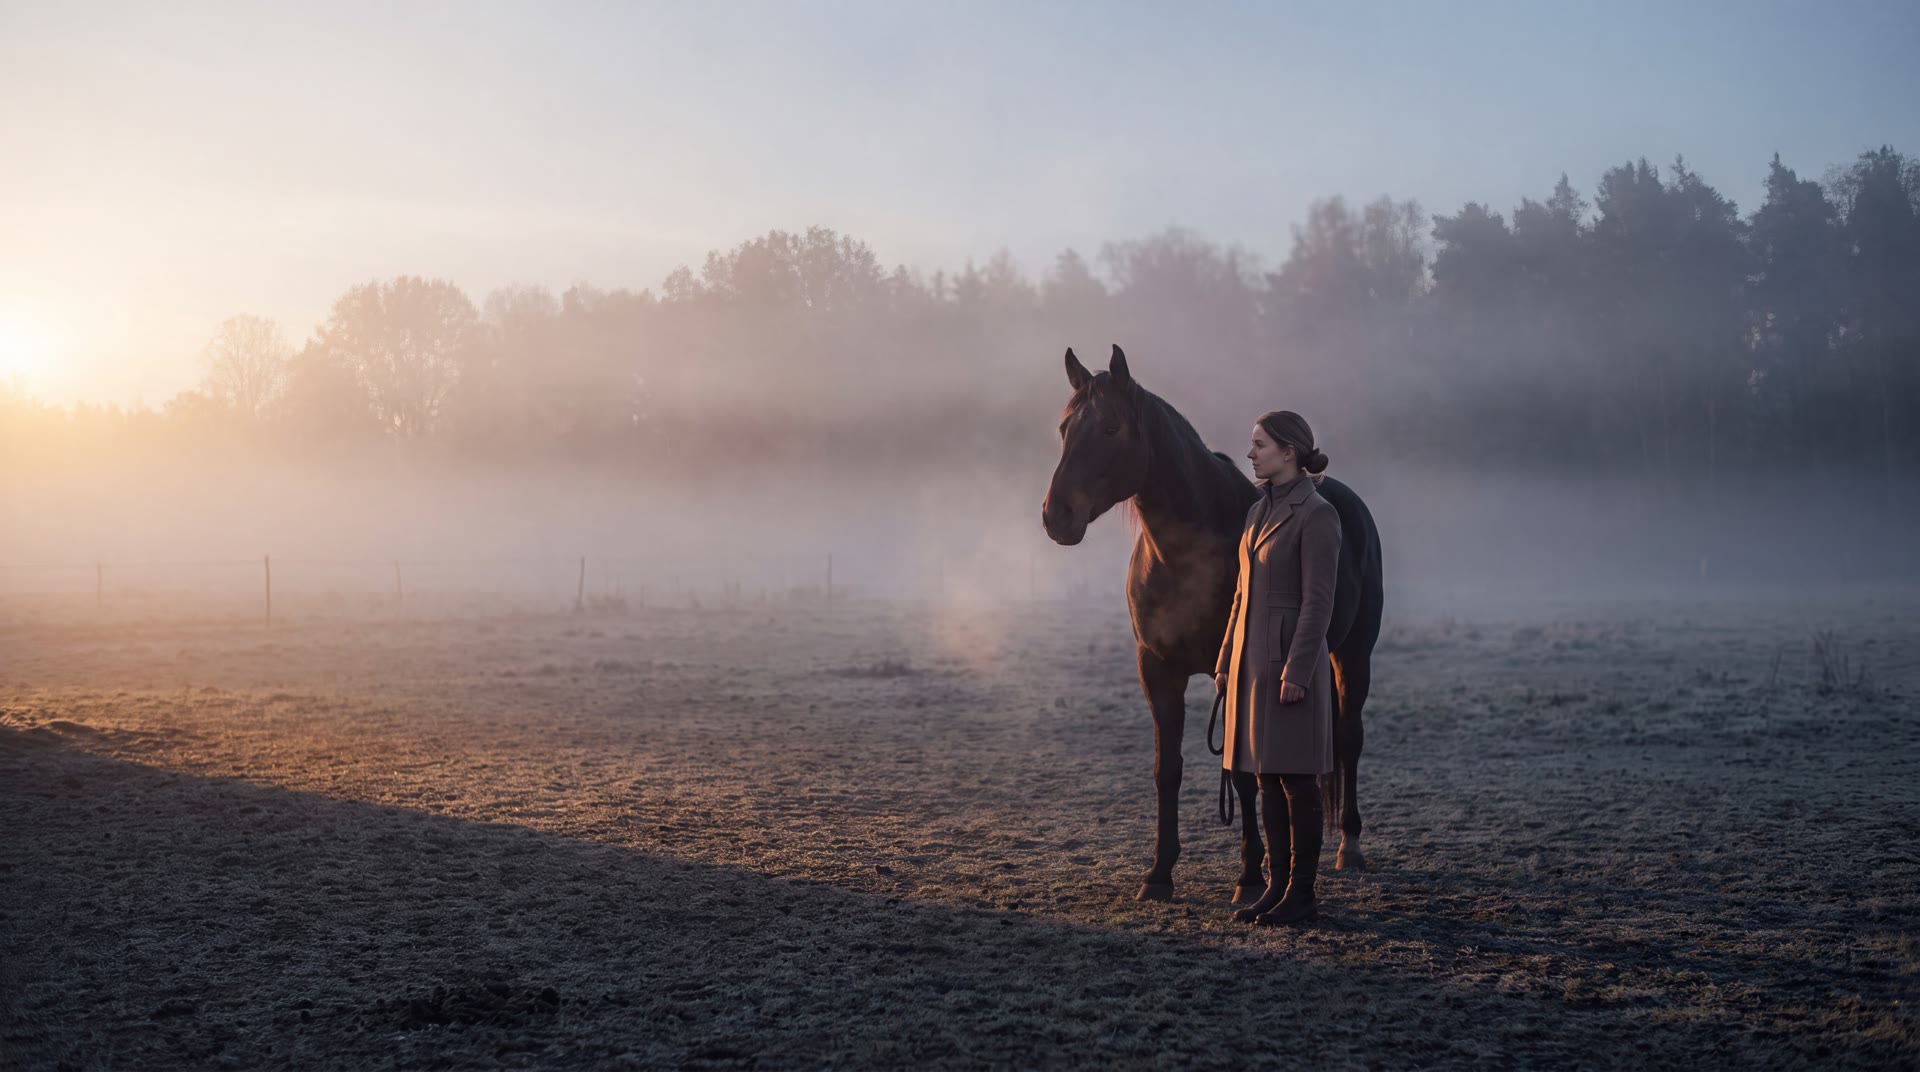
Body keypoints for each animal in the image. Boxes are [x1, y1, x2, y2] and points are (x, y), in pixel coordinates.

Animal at [1041, 345, 1385, 902]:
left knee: (1350, 737)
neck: (1185, 557)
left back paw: (1348, 847)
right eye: (1064, 428)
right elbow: (1168, 769)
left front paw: (1249, 878)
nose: (1056, 517)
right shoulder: (1157, 670)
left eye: (1112, 428)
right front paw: (1159, 873)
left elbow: (1240, 776)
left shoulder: (1237, 673)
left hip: (1353, 654)